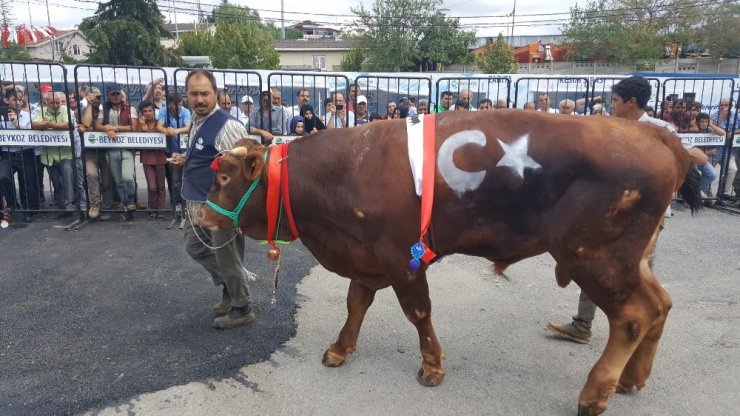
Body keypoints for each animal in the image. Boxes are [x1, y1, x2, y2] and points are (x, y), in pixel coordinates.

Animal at [199, 110, 696, 416]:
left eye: (223, 178)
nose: (201, 214)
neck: (348, 167)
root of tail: (656, 134)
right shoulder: (368, 257)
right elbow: (356, 303)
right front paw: (340, 348)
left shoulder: (401, 257)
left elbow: (418, 311)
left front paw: (433, 366)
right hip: (630, 262)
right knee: (661, 304)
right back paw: (631, 379)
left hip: (596, 258)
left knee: (633, 316)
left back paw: (595, 395)